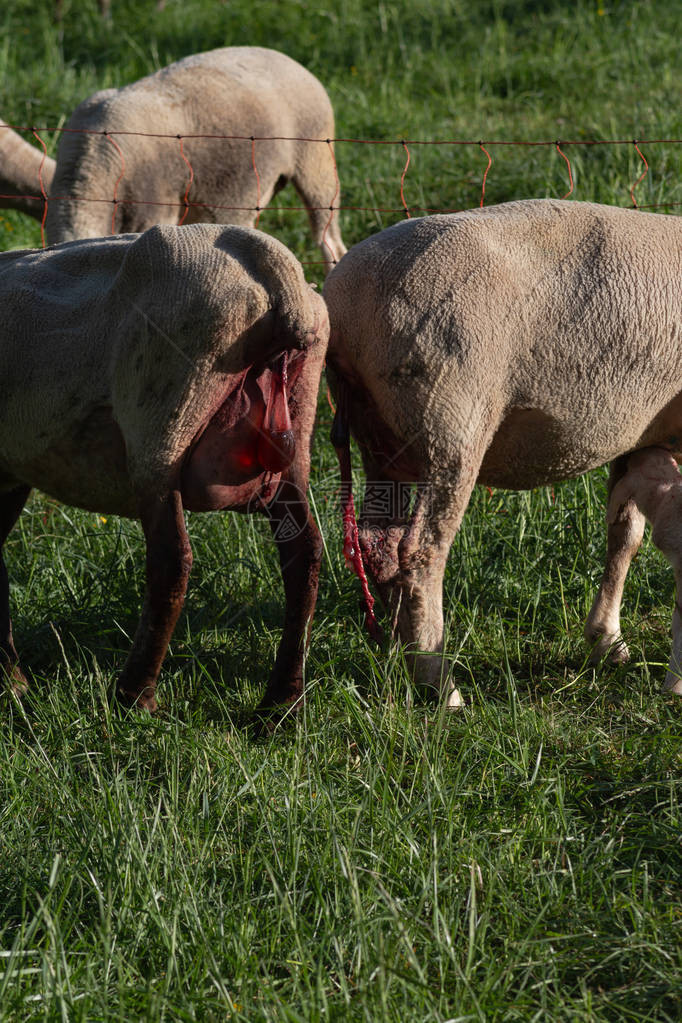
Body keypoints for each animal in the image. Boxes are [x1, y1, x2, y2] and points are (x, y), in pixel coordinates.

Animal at [0, 221, 327, 720]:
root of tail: (273, 270)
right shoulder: (9, 475)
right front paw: (11, 682)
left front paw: (10, 682)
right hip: (297, 431)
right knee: (303, 555)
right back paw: (279, 703)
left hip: (162, 425)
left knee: (172, 561)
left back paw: (135, 695)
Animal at [323, 199, 682, 707]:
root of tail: (346, 305)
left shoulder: (640, 432)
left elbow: (624, 533)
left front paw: (606, 640)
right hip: (451, 421)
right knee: (420, 555)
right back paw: (440, 684)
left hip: (381, 437)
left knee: (381, 547)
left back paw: (395, 654)